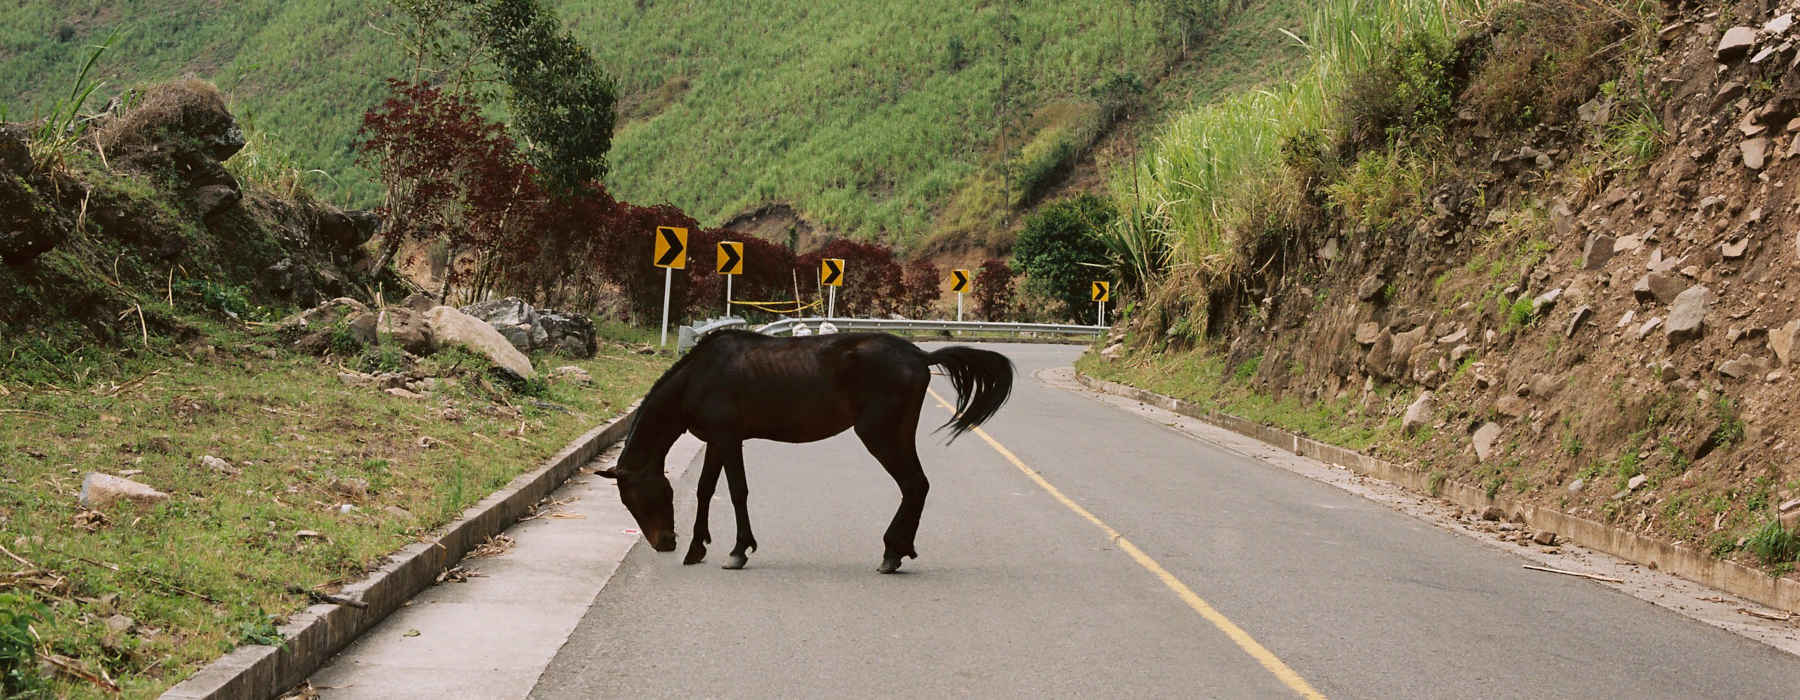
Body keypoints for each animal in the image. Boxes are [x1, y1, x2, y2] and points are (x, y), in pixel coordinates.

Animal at [594, 329, 1008, 568]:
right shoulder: (718, 440)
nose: (664, 542)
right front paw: (698, 548)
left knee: (913, 484)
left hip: (880, 433)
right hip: (897, 433)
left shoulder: (727, 438)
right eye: (628, 503)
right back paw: (897, 549)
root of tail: (921, 357)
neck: (700, 375)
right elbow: (705, 489)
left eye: (638, 498)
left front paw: (738, 550)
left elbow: (737, 491)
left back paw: (893, 551)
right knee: (916, 486)